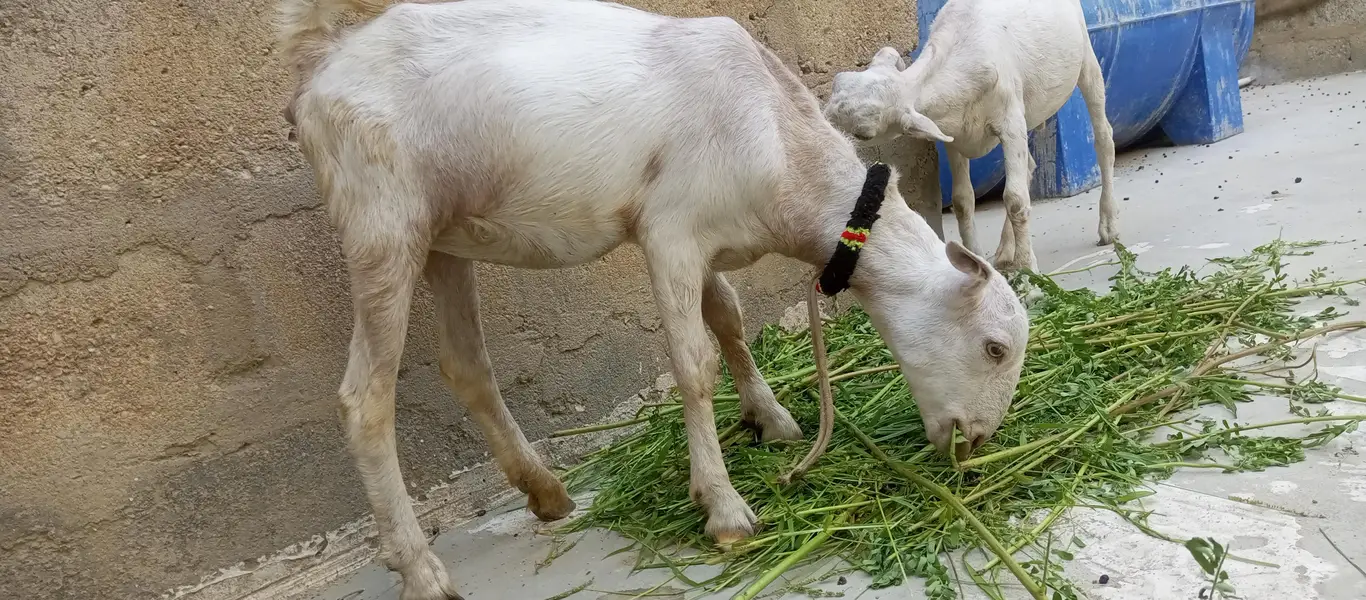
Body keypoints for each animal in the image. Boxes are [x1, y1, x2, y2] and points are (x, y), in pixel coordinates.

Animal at [277, 1, 1029, 598]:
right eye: (994, 348)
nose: (975, 442)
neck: (778, 141)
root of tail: (320, 72)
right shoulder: (671, 231)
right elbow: (693, 364)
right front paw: (724, 507)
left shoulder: (705, 238)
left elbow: (729, 319)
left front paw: (771, 419)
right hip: (381, 223)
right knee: (364, 401)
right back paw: (421, 568)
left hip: (444, 236)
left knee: (466, 366)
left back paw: (545, 491)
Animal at [823, 0, 1118, 273]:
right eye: (837, 82)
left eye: (863, 134)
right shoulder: (954, 135)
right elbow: (963, 200)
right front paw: (974, 259)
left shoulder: (1011, 122)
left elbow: (1015, 199)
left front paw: (1028, 268)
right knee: (1029, 166)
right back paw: (1005, 250)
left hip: (1086, 58)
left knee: (1104, 139)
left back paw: (1108, 226)